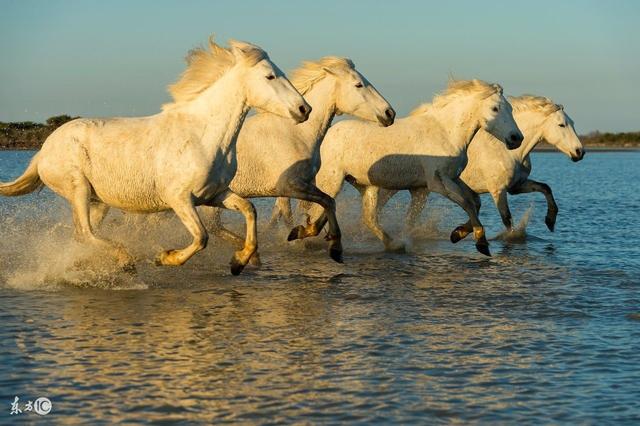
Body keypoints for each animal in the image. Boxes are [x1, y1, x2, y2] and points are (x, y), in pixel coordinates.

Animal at [0, 37, 310, 276]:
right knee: (86, 232)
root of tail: (42, 151)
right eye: (270, 76)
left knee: (81, 235)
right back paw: (126, 261)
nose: (304, 109)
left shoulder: (215, 194)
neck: (202, 135)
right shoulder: (179, 198)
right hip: (77, 189)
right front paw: (165, 257)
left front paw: (238, 262)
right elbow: (202, 237)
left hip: (98, 201)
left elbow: (249, 210)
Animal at [205, 56, 396, 262]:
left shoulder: (305, 184)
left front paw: (302, 231)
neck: (295, 133)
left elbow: (325, 204)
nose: (390, 113)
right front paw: (332, 247)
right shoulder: (290, 186)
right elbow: (326, 202)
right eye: (358, 84)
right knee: (212, 226)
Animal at [292, 78, 524, 255]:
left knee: (364, 216)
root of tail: (326, 135)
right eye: (495, 108)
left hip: (365, 185)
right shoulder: (437, 182)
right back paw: (304, 237)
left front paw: (458, 233)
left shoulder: (446, 180)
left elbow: (475, 201)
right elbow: (467, 203)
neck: (445, 132)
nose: (516, 138)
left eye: (511, 108)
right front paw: (480, 242)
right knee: (322, 206)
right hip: (333, 180)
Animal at [370, 94, 584, 240]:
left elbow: (545, 188)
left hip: (417, 189)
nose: (580, 152)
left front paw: (550, 221)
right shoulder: (498, 190)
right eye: (562, 125)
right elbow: (506, 218)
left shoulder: (516, 186)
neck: (507, 150)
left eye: (572, 123)